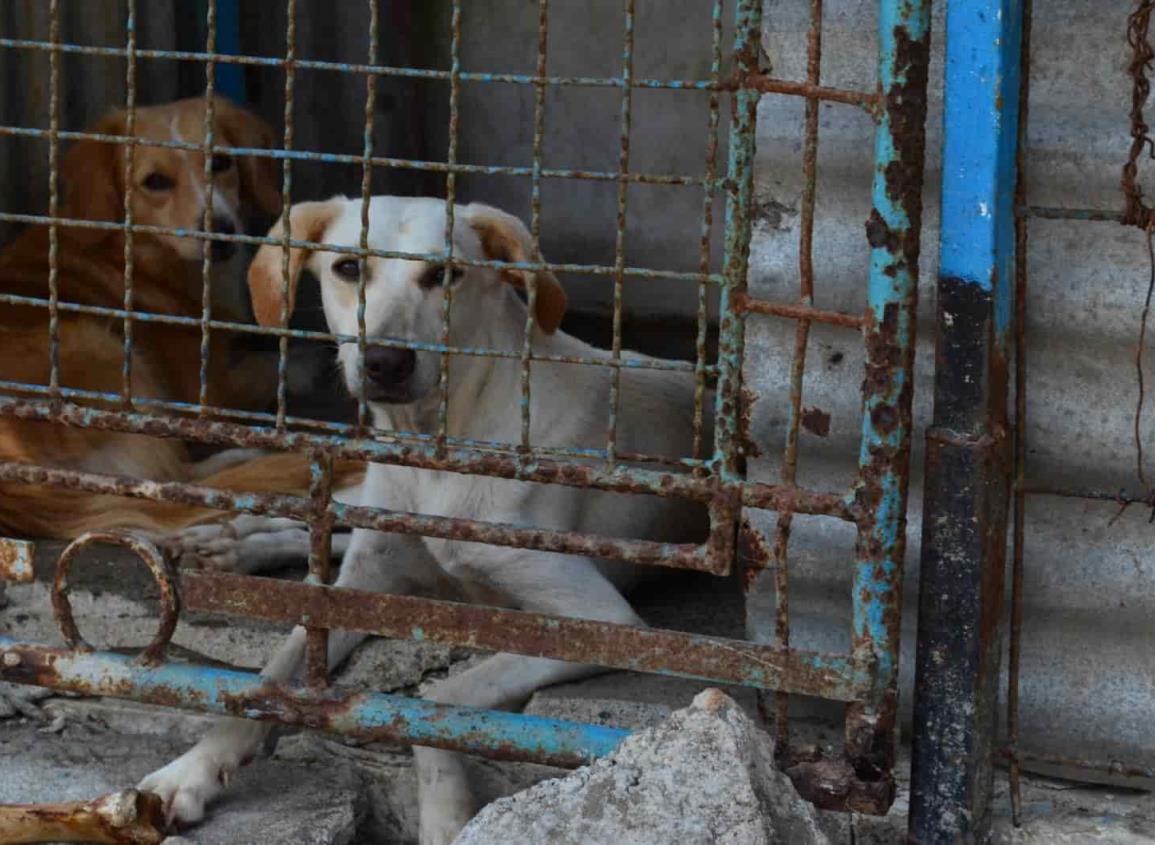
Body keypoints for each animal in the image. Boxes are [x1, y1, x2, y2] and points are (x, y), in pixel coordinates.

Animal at [0, 95, 355, 537]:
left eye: (221, 162)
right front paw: (306, 362)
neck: (138, 252)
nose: (220, 233)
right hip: (104, 351)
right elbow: (265, 371)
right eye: (155, 182)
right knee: (166, 479)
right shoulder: (210, 392)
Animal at [139, 198, 706, 845]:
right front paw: (190, 771)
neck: (436, 444)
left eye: (445, 275)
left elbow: (438, 702)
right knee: (333, 526)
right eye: (348, 268)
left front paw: (446, 814)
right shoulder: (359, 587)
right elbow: (268, 679)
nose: (387, 361)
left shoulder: (599, 622)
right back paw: (233, 542)